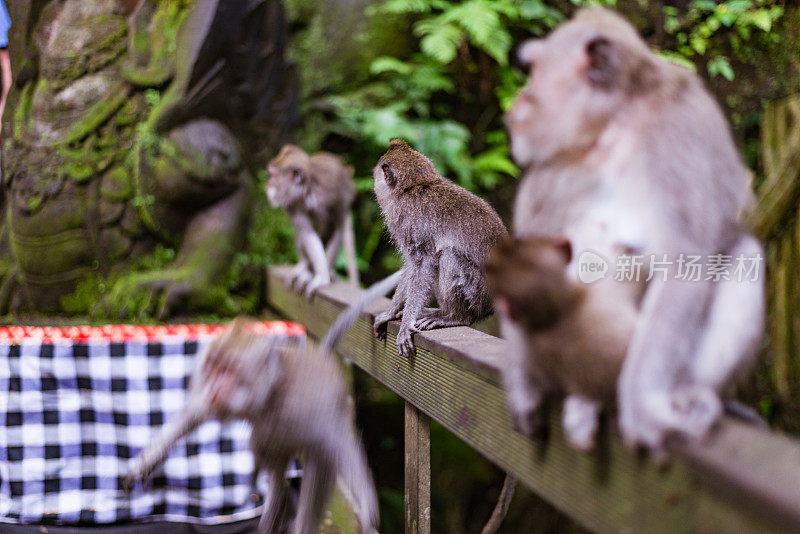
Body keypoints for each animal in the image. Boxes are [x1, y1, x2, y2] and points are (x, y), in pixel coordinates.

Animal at [268, 144, 358, 300]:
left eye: (273, 175)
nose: (267, 184)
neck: (307, 190)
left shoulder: (330, 194)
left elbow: (331, 229)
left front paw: (321, 276)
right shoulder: (292, 203)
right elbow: (308, 234)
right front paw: (310, 271)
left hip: (346, 197)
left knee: (338, 228)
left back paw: (326, 269)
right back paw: (304, 267)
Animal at [370, 138, 506, 358]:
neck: (413, 186)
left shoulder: (407, 221)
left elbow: (422, 264)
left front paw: (405, 325)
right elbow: (413, 267)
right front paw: (391, 312)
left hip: (478, 295)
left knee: (449, 256)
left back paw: (453, 316)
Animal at [496, 6, 764, 454]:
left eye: (533, 70)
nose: (517, 104)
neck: (614, 124)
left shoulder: (681, 130)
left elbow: (686, 260)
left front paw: (643, 406)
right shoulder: (550, 170)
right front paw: (523, 389)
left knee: (744, 253)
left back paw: (683, 392)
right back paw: (581, 397)